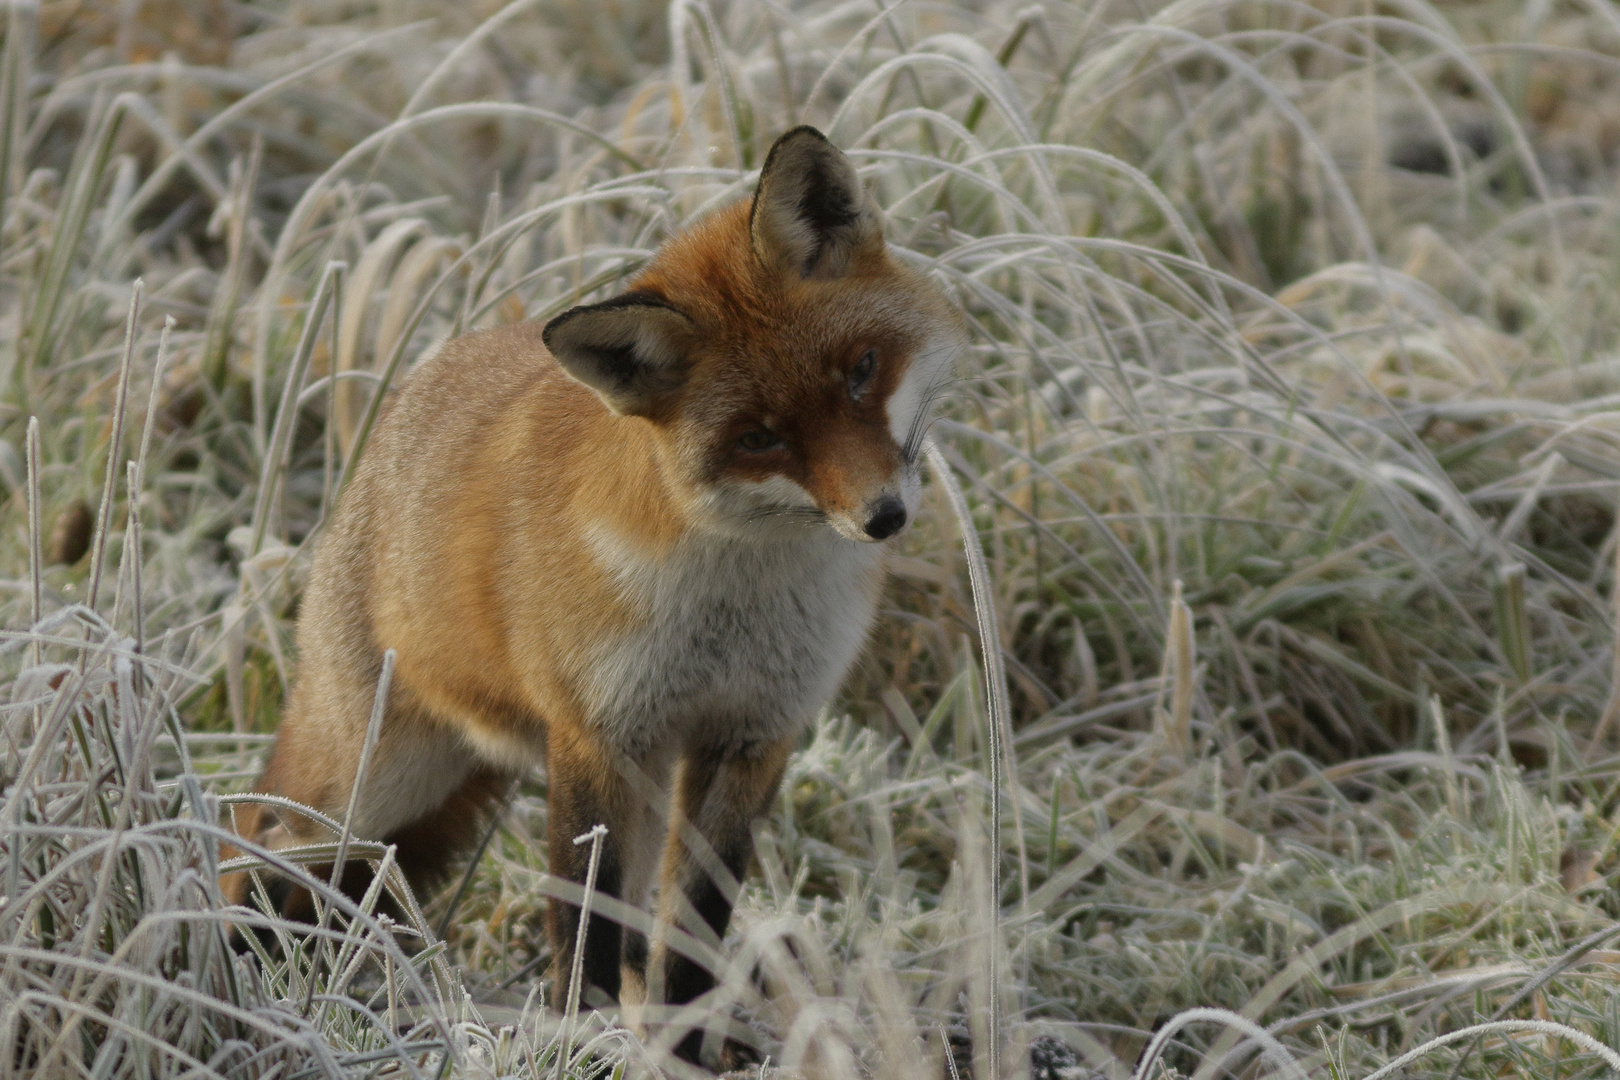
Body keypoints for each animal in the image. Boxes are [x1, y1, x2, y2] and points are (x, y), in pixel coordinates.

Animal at [225, 122, 959, 1062]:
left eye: (861, 371)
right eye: (760, 438)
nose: (883, 516)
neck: (737, 597)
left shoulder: (752, 733)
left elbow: (691, 927)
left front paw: (685, 1050)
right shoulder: (596, 734)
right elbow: (583, 918)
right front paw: (589, 1036)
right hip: (367, 780)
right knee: (258, 840)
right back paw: (233, 975)